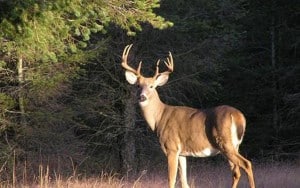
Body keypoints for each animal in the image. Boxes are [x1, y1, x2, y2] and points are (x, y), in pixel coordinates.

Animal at [122, 44, 255, 188]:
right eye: (138, 86)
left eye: (152, 86)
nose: (142, 97)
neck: (159, 118)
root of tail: (238, 116)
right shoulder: (182, 153)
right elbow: (184, 182)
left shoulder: (172, 147)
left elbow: (171, 180)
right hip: (234, 145)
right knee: (236, 172)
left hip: (225, 142)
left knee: (246, 164)